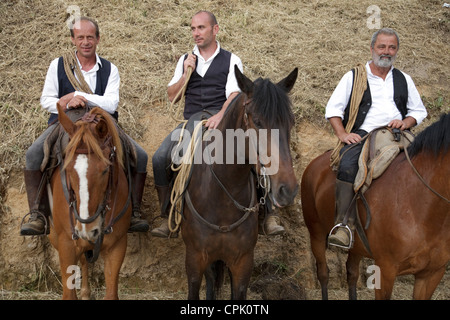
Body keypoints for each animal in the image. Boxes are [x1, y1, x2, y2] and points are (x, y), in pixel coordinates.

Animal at [48, 103, 132, 300]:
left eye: (105, 170)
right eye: (68, 169)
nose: (88, 228)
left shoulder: (117, 246)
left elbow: (111, 293)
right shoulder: (66, 244)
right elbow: (68, 293)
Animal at [178, 65, 298, 300]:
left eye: (290, 122)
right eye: (257, 121)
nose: (287, 190)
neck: (222, 195)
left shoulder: (243, 264)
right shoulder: (194, 260)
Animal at [300, 113, 450, 300]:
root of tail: (315, 163)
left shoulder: (432, 273)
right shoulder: (385, 269)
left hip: (356, 245)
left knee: (352, 273)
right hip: (316, 234)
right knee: (323, 273)